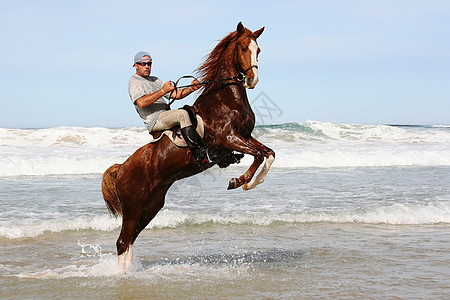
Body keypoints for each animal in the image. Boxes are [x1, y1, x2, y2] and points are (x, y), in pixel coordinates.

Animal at [103, 22, 274, 272]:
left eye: (258, 50)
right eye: (243, 48)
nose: (252, 80)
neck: (225, 97)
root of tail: (121, 168)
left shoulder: (244, 136)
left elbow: (268, 153)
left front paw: (249, 182)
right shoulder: (228, 138)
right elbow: (260, 155)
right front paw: (240, 181)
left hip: (151, 205)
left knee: (131, 238)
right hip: (133, 206)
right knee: (122, 241)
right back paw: (123, 275)